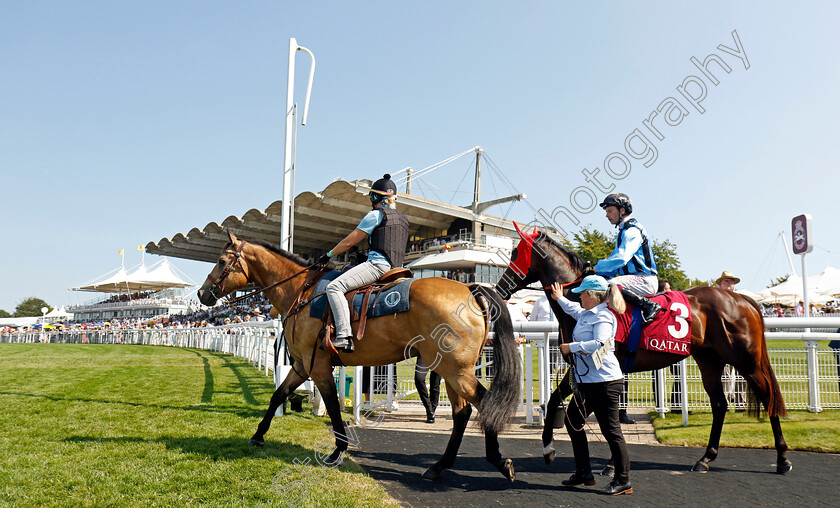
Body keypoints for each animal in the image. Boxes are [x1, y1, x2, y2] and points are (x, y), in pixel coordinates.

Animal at [199, 233, 520, 480]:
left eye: (222, 261)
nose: (203, 294)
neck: (302, 292)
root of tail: (470, 288)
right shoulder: (301, 366)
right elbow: (278, 396)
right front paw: (258, 435)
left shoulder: (318, 367)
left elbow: (331, 406)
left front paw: (337, 451)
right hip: (451, 370)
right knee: (462, 413)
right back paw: (440, 466)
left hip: (456, 370)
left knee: (483, 405)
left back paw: (497, 461)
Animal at [496, 224, 792, 474]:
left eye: (515, 252)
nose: (501, 287)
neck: (579, 301)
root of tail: (742, 299)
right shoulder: (579, 368)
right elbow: (556, 400)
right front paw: (548, 448)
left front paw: (611, 464)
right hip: (709, 361)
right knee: (720, 405)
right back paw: (705, 459)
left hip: (746, 361)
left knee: (768, 397)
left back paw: (782, 458)